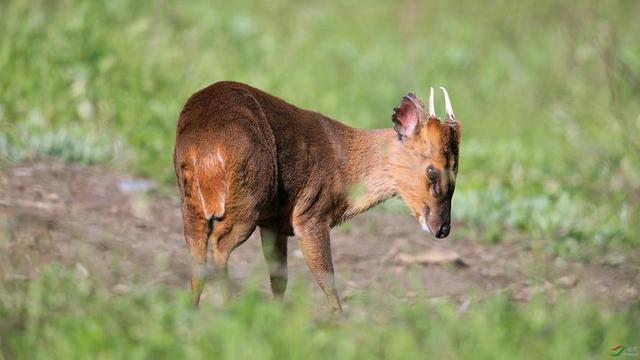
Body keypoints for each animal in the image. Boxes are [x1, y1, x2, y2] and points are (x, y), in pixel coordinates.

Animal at [175, 82, 462, 312]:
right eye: (433, 171)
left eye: (457, 171)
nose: (443, 229)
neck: (346, 168)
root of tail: (205, 148)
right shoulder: (310, 213)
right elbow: (326, 277)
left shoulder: (274, 221)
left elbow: (279, 276)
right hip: (247, 199)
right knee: (219, 244)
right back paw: (229, 307)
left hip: (191, 202)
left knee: (197, 253)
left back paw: (193, 311)